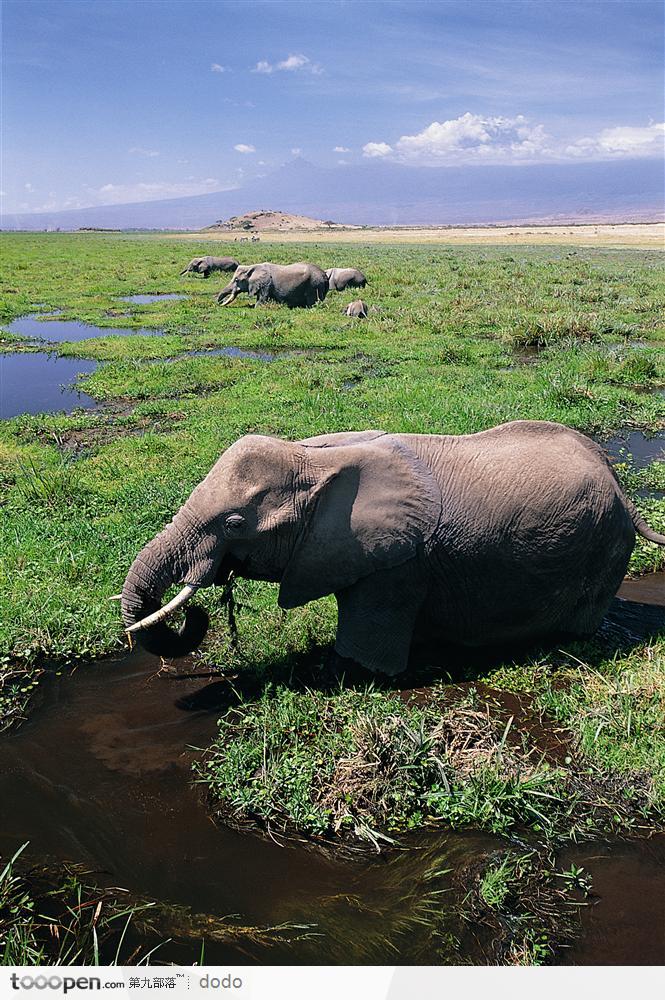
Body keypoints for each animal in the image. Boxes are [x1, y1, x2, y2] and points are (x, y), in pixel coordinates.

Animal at [119, 418, 664, 676]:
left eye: (234, 523)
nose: (197, 616)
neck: (313, 459)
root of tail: (619, 484)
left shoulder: (399, 564)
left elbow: (360, 660)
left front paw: (344, 669)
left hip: (604, 547)